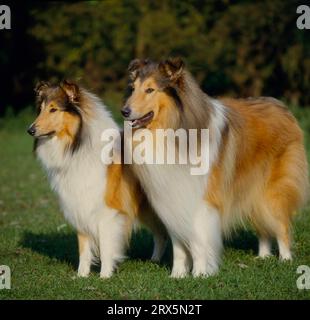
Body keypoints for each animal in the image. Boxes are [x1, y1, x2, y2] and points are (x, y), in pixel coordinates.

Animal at [27, 81, 167, 278]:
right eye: (40, 109)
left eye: (53, 109)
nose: (30, 130)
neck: (77, 149)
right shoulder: (80, 206)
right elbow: (83, 248)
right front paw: (81, 276)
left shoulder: (107, 213)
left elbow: (106, 246)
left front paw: (105, 276)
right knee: (161, 234)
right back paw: (155, 260)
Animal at [122, 57, 308, 278]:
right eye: (133, 88)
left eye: (150, 90)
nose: (124, 111)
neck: (172, 131)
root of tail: (281, 105)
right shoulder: (174, 197)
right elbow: (179, 245)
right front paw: (177, 275)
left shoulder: (203, 200)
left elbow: (200, 240)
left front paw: (200, 273)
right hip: (252, 188)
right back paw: (263, 256)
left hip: (272, 191)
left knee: (280, 223)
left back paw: (285, 259)